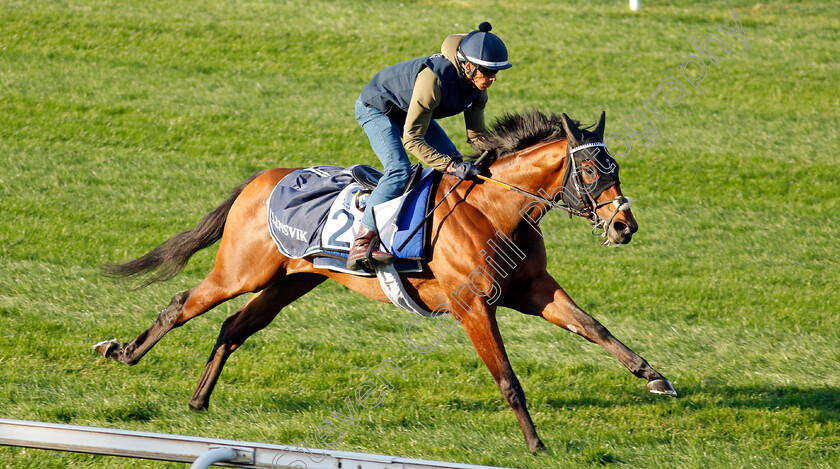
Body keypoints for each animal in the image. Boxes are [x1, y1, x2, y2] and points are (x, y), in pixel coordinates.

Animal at [97, 109, 676, 450]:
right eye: (594, 171)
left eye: (616, 167)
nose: (624, 226)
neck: (494, 210)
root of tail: (262, 180)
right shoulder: (473, 306)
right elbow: (509, 379)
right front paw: (535, 444)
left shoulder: (532, 291)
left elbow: (595, 328)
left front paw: (654, 377)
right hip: (239, 271)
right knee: (182, 303)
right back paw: (122, 352)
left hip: (290, 280)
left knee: (235, 327)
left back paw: (198, 399)